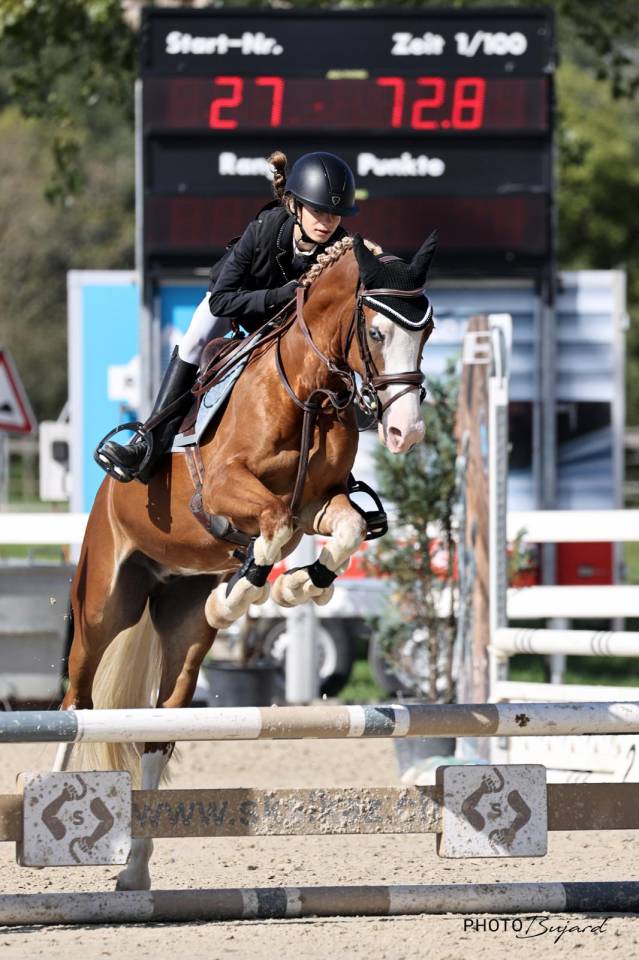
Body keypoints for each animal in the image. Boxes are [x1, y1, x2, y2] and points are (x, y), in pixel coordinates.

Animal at [57, 231, 437, 889]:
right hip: (104, 604)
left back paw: (135, 871)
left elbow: (342, 529)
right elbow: (274, 524)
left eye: (429, 329)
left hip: (180, 630)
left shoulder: (320, 502)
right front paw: (243, 592)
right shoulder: (225, 489)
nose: (405, 432)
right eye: (376, 331)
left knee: (160, 727)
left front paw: (295, 587)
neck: (308, 389)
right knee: (74, 701)